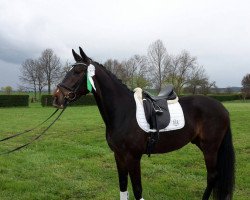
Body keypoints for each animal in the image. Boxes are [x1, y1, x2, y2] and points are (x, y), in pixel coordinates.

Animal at [52, 47, 234, 200]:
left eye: (78, 71)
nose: (56, 98)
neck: (124, 112)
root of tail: (222, 108)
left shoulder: (133, 157)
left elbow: (138, 190)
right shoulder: (118, 156)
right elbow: (123, 187)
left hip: (210, 148)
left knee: (212, 176)